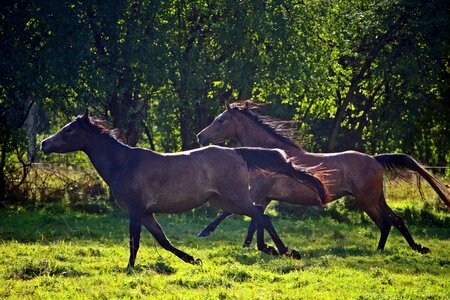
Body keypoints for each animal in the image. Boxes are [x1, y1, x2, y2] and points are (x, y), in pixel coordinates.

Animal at [41, 110, 330, 268]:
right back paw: (266, 248)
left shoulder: (135, 210)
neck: (122, 163)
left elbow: (135, 241)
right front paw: (193, 259)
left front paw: (129, 267)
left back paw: (286, 251)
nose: (44, 143)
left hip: (236, 198)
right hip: (225, 202)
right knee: (259, 216)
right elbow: (163, 241)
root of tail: (236, 151)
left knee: (263, 216)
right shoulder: (146, 213)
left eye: (68, 130)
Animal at [195, 101, 448, 253]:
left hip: (366, 200)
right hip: (376, 198)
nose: (199, 136)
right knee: (397, 220)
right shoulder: (263, 197)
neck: (270, 156)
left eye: (221, 120)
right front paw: (257, 246)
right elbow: (255, 221)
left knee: (385, 222)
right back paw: (416, 247)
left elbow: (232, 213)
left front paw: (205, 231)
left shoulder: (256, 193)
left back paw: (379, 251)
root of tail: (376, 159)